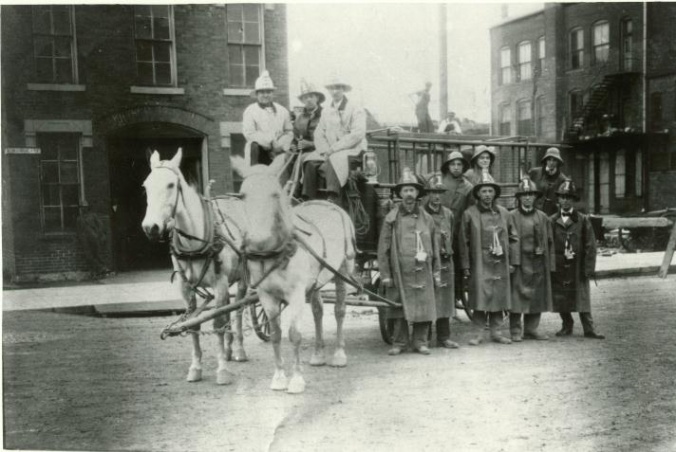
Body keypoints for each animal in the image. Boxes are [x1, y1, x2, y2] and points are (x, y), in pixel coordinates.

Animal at [143, 148, 248, 384]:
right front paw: (196, 367)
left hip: (245, 278)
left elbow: (217, 324)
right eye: (145, 186)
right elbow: (193, 324)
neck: (195, 241)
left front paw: (222, 370)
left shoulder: (220, 283)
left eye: (171, 185)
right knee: (230, 310)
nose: (150, 227)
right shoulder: (185, 287)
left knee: (238, 310)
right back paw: (229, 350)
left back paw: (238, 350)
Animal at [232, 156, 356, 396]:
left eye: (274, 194)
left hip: (343, 270)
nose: (258, 238)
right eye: (242, 195)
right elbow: (276, 334)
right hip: (316, 281)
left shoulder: (297, 294)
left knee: (339, 311)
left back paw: (339, 354)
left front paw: (297, 380)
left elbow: (294, 335)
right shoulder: (266, 296)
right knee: (318, 311)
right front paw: (279, 377)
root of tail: (330, 204)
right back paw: (318, 354)